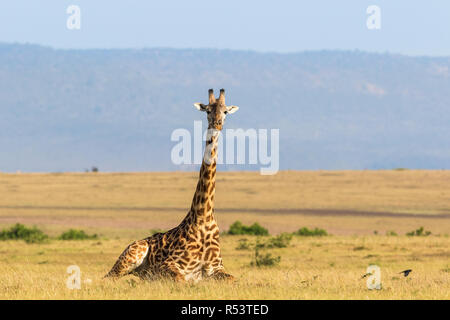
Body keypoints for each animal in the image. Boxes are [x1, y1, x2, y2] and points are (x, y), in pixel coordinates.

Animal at [104, 89, 239, 282]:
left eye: (225, 111)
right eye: (207, 110)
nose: (217, 124)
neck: (203, 217)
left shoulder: (216, 267)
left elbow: (233, 279)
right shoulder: (167, 265)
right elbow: (181, 280)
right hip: (130, 256)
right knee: (108, 277)